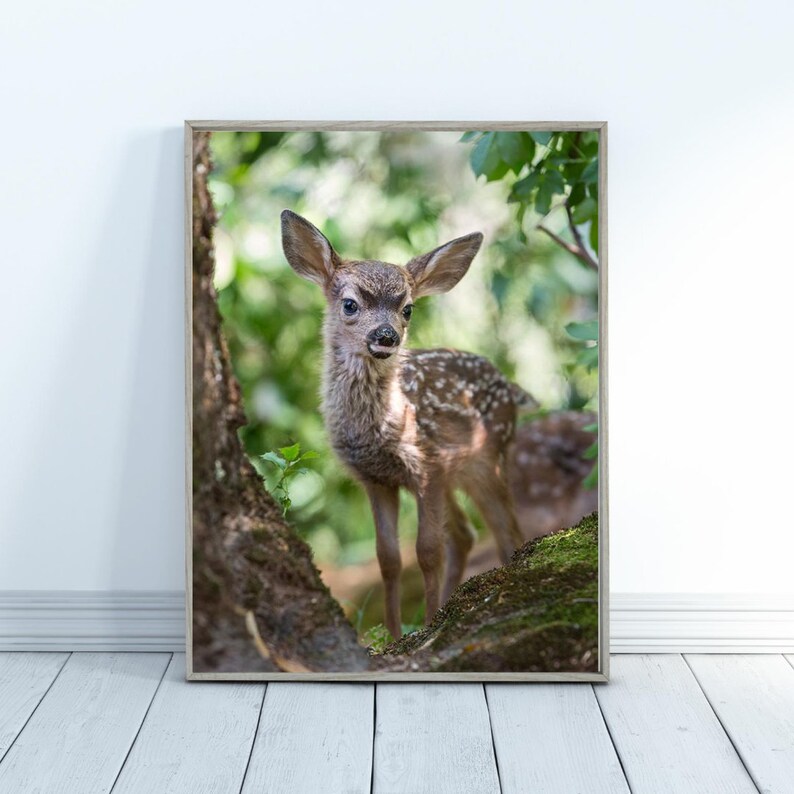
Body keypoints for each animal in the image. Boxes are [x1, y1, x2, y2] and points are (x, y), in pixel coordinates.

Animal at [281, 210, 536, 639]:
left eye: (408, 309)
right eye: (349, 304)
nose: (386, 336)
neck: (379, 426)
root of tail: (511, 386)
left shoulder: (426, 466)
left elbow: (427, 552)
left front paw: (427, 625)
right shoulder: (376, 479)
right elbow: (389, 558)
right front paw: (397, 632)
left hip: (486, 458)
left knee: (506, 532)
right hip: (456, 472)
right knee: (465, 534)